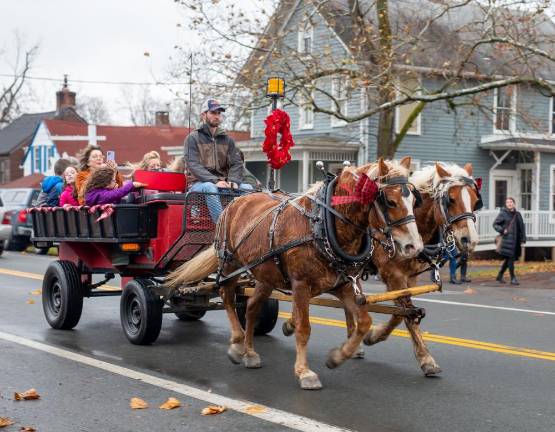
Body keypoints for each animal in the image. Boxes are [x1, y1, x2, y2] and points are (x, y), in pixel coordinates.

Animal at [167, 157, 424, 390]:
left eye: (414, 200)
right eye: (390, 201)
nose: (415, 247)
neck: (324, 225)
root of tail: (236, 201)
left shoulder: (343, 285)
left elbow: (364, 322)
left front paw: (338, 356)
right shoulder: (301, 285)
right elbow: (303, 328)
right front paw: (304, 372)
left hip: (265, 276)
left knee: (250, 308)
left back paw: (250, 353)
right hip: (230, 265)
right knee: (227, 298)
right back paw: (237, 344)